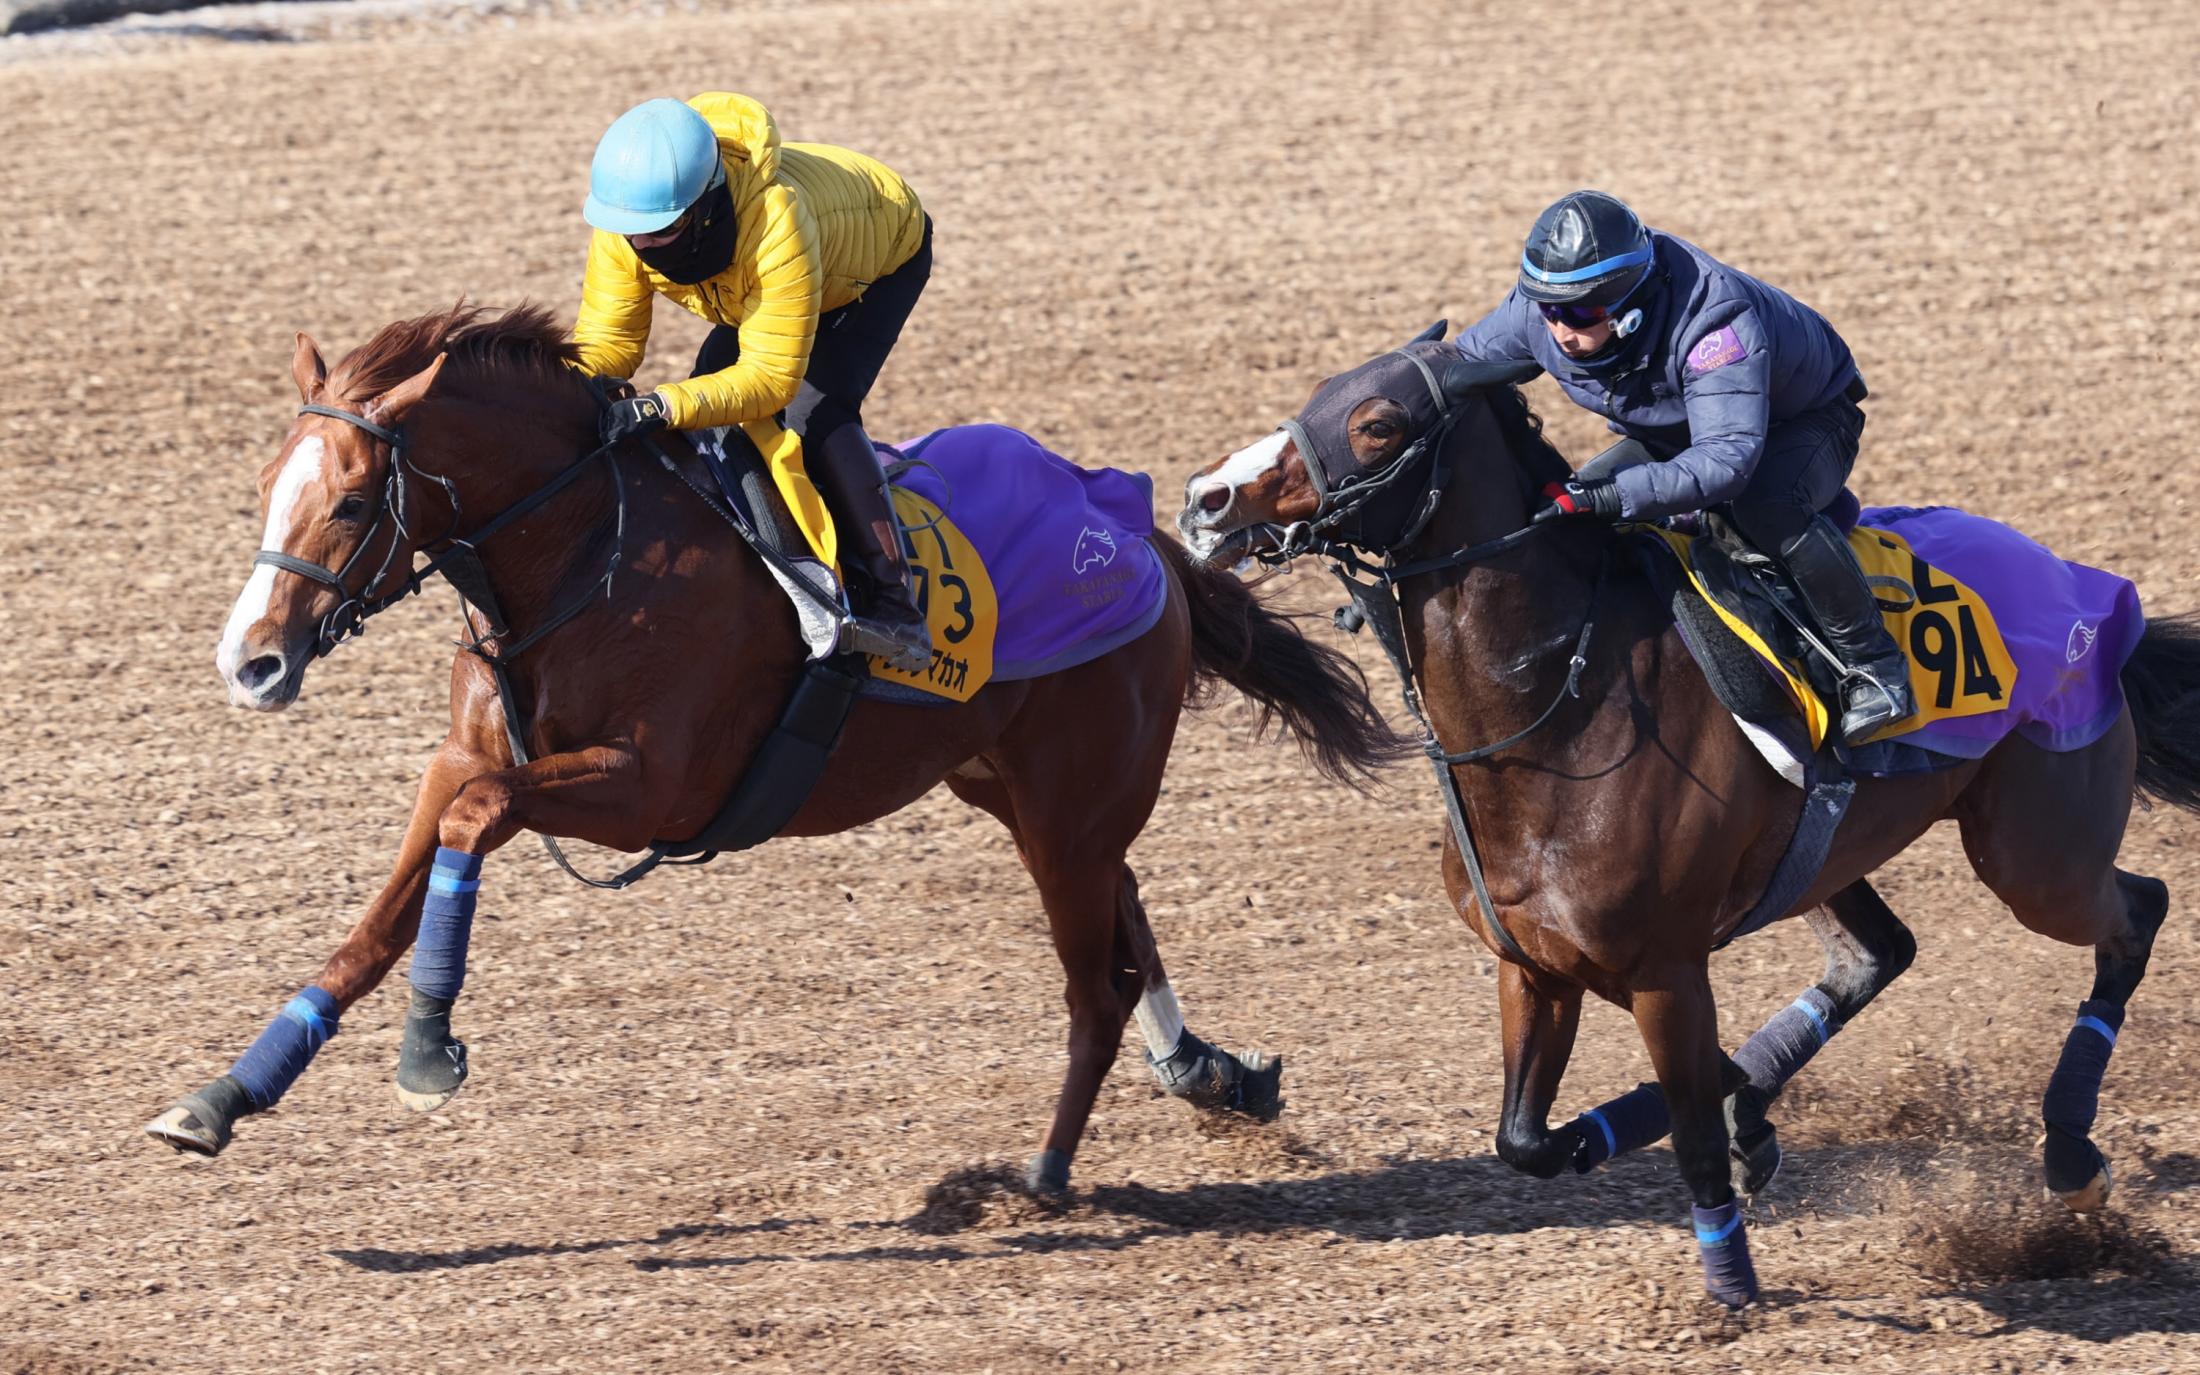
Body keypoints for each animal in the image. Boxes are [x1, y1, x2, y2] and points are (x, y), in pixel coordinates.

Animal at [146, 308, 1399, 1188]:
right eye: (267, 485)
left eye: (354, 504)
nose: (249, 660)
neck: (586, 556)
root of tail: (1135, 535)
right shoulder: (473, 757)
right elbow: (389, 901)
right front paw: (222, 1097)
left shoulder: (650, 792)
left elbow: (472, 820)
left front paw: (425, 1052)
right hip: (1017, 792)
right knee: (1126, 922)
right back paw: (1206, 1071)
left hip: (1069, 806)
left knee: (1095, 983)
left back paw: (1049, 1169)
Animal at [1179, 330, 2200, 1293]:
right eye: (1320, 394)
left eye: (1378, 425)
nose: (1205, 499)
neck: (1557, 712)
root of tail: (2091, 590)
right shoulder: (1532, 967)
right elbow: (1526, 1139)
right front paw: (1719, 1116)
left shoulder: (1666, 971)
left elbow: (1693, 1138)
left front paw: (1731, 1288)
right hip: (1830, 855)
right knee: (1879, 953)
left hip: (2036, 854)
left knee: (2135, 912)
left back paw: (2070, 1153)